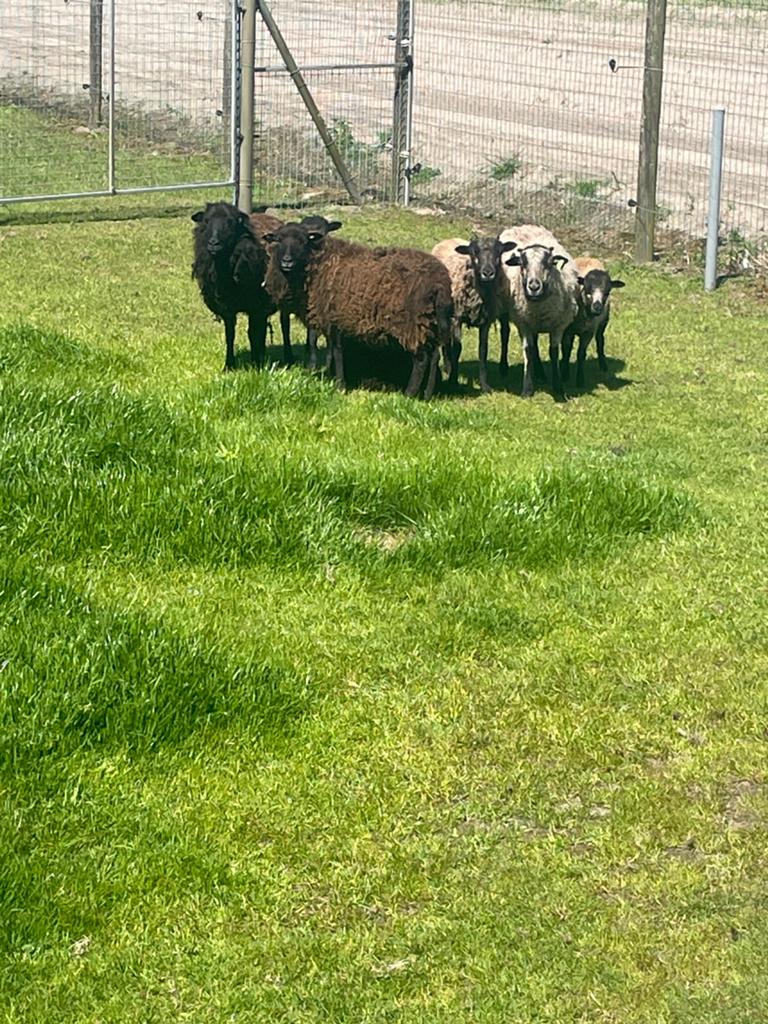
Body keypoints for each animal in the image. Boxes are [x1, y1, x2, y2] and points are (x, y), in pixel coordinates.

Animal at [191, 201, 285, 371]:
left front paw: (256, 365)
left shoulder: (256, 306)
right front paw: (229, 366)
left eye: (231, 223)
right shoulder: (227, 308)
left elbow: (253, 333)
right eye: (206, 221)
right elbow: (230, 335)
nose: (213, 243)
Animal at [430, 235, 517, 393]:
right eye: (474, 252)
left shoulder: (486, 321)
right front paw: (453, 380)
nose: (488, 273)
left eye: (499, 251)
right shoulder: (457, 317)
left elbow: (483, 350)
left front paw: (485, 385)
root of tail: (449, 239)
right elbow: (457, 349)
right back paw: (447, 366)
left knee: (505, 333)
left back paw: (503, 368)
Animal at [499, 224, 579, 400]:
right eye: (522, 263)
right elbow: (528, 351)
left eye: (549, 263)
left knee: (535, 343)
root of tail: (522, 226)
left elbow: (553, 352)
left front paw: (558, 388)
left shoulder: (558, 326)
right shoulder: (523, 324)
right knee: (505, 333)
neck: (539, 308)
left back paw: (540, 373)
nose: (534, 287)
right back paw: (504, 367)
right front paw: (527, 388)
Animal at [560, 257, 625, 388]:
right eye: (587, 290)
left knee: (600, 340)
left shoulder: (588, 333)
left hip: (603, 322)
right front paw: (564, 374)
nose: (597, 307)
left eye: (607, 292)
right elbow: (566, 350)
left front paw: (580, 380)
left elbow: (581, 354)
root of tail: (589, 258)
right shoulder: (567, 330)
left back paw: (603, 365)